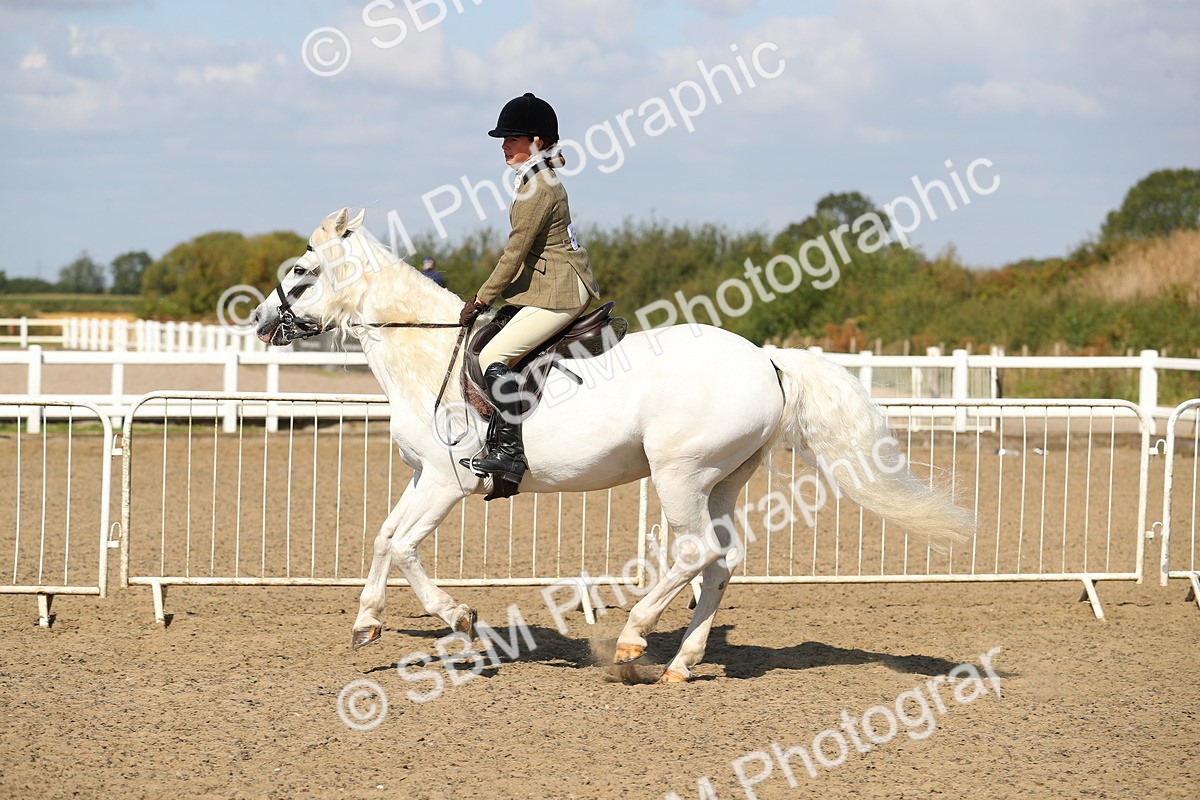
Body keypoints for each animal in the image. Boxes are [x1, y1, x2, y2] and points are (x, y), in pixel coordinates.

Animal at [250, 208, 974, 683]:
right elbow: (382, 537)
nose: (258, 321)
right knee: (723, 560)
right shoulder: (421, 475)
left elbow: (404, 547)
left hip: (680, 474)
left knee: (696, 552)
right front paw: (366, 622)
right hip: (721, 480)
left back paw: (632, 641)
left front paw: (460, 619)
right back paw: (681, 663)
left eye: (304, 270)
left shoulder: (448, 481)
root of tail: (765, 359)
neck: (428, 355)